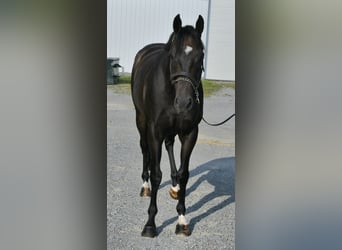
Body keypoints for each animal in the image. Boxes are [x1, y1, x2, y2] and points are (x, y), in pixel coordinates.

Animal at [132, 14, 204, 237]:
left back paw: (174, 187)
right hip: (141, 120)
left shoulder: (190, 132)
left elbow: (184, 174)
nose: (184, 103)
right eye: (172, 56)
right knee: (144, 149)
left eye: (201, 55)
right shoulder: (154, 131)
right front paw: (150, 224)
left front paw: (181, 219)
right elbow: (156, 174)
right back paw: (145, 186)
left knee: (170, 145)